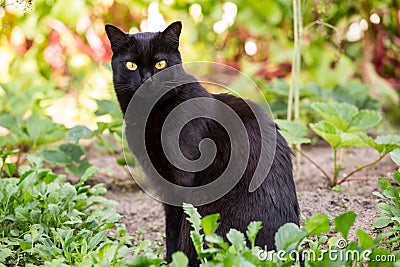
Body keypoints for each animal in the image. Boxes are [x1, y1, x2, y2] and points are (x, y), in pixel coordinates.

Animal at [104, 21, 298, 266]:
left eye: (160, 64)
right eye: (131, 65)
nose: (147, 79)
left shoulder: (180, 181)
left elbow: (173, 228)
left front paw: (172, 259)